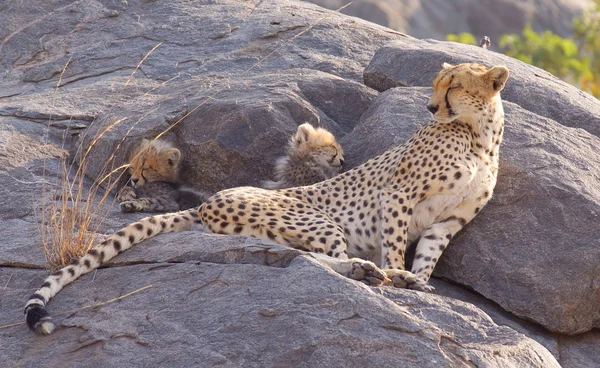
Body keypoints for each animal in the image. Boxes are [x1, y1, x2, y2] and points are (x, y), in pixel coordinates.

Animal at [25, 63, 508, 334]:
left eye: (452, 86)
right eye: (437, 85)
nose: (431, 108)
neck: (479, 135)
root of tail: (208, 200)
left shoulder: (449, 222)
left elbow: (428, 254)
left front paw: (421, 282)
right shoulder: (397, 195)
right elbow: (394, 246)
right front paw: (401, 275)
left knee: (302, 256)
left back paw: (373, 272)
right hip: (315, 220)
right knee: (321, 259)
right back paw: (370, 271)